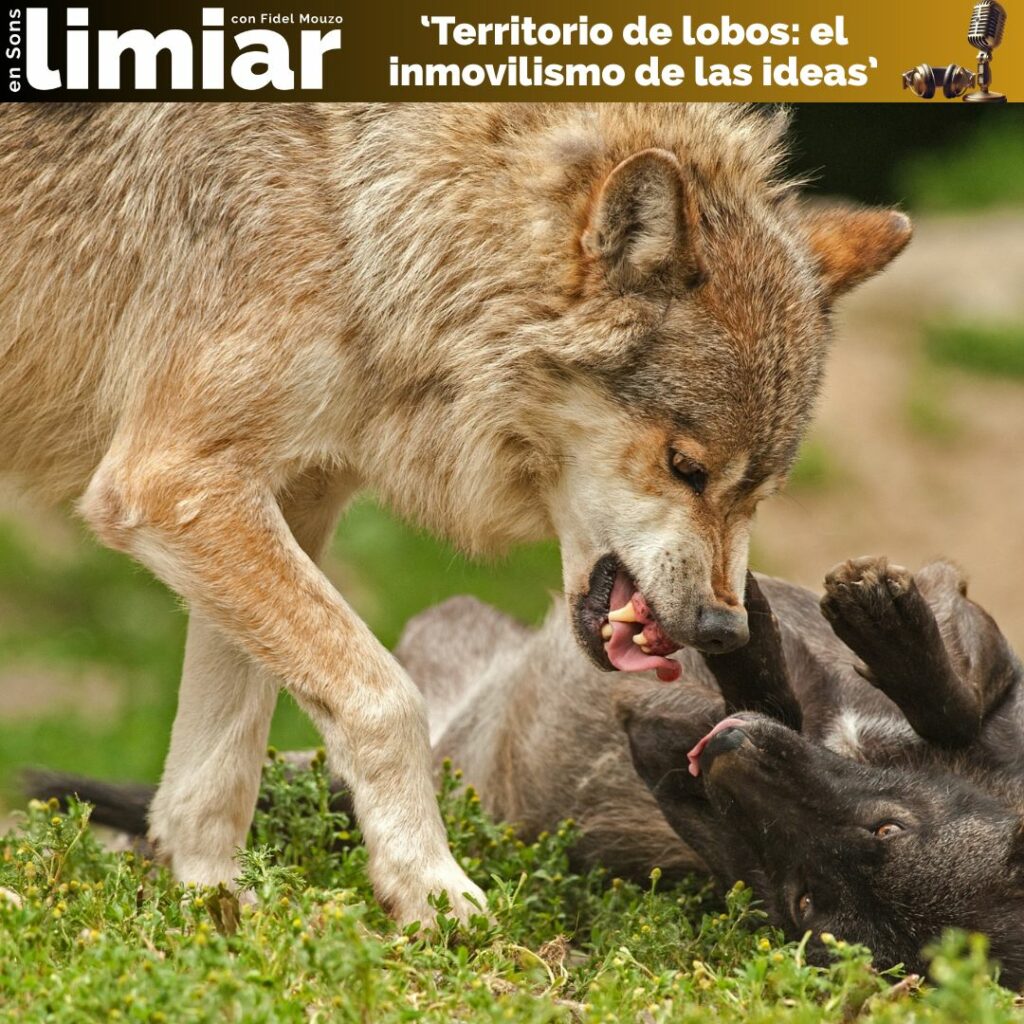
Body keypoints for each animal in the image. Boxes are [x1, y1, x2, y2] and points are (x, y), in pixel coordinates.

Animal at [0, 103, 910, 926]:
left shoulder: (279, 497)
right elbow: (385, 700)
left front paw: (210, 902)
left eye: (761, 493)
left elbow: (224, 752)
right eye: (685, 468)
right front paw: (431, 891)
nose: (724, 630)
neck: (363, 221)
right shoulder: (173, 482)